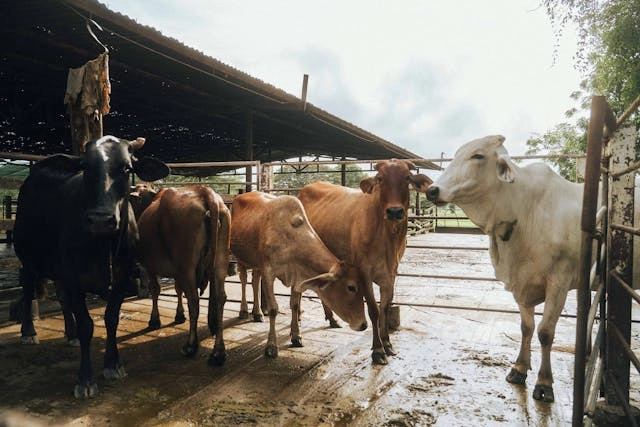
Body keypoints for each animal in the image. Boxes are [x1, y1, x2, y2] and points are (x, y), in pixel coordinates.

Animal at [13, 137, 169, 402]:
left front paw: (113, 364)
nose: (100, 219)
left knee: (62, 297)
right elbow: (87, 324)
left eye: (126, 168)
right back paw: (29, 332)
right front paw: (85, 379)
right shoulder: (73, 277)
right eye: (85, 167)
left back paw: (71, 334)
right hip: (28, 257)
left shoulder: (122, 275)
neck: (102, 243)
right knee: (27, 287)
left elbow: (111, 318)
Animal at [135, 186, 230, 366]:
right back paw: (218, 352)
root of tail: (205, 191)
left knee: (194, 300)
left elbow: (155, 290)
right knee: (220, 298)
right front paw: (179, 315)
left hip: (187, 266)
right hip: (220, 262)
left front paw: (154, 320)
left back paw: (191, 345)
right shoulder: (176, 271)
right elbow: (178, 290)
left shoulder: (151, 267)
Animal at [230, 191, 364, 358]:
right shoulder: (269, 272)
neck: (291, 238)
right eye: (351, 287)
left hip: (256, 262)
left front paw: (296, 336)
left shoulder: (296, 275)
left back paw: (258, 313)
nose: (364, 324)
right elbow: (273, 309)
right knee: (243, 279)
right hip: (240, 257)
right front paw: (271, 345)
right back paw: (243, 311)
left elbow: (294, 305)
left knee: (255, 281)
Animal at [298, 160, 430, 364]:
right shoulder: (364, 272)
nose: (394, 211)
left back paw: (332, 319)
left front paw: (387, 343)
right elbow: (373, 310)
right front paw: (378, 350)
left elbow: (385, 308)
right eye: (380, 178)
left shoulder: (391, 273)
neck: (387, 237)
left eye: (407, 177)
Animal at [424, 135, 584, 402]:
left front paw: (544, 383)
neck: (524, 206)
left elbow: (545, 332)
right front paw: (519, 369)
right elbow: (526, 327)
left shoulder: (559, 281)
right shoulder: (521, 281)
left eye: (478, 155)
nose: (432, 190)